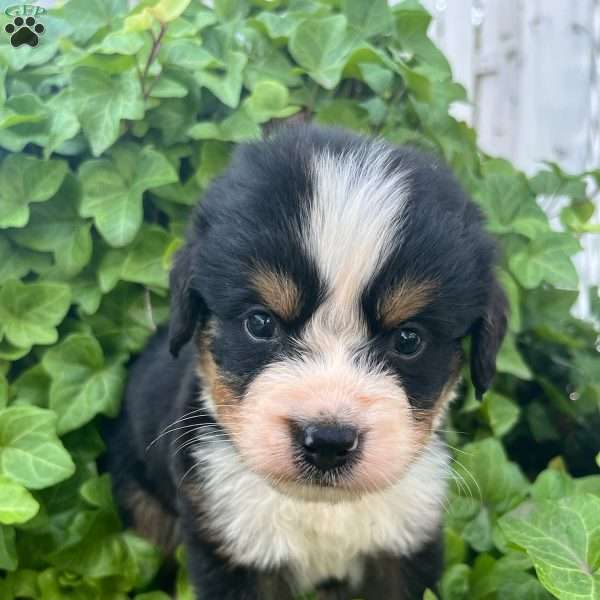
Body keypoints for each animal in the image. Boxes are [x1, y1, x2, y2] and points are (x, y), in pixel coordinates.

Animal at [103, 124, 506, 596]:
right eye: (260, 322)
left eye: (409, 339)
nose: (329, 442)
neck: (321, 509)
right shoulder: (230, 538)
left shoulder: (405, 535)